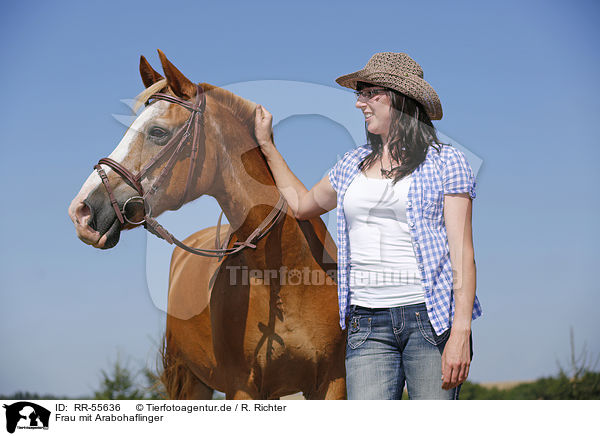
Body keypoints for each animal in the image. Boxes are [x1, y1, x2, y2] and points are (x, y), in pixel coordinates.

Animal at [67, 50, 344, 398]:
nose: (81, 210)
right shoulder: (242, 387)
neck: (286, 273)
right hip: (191, 381)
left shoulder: (332, 381)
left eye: (158, 132)